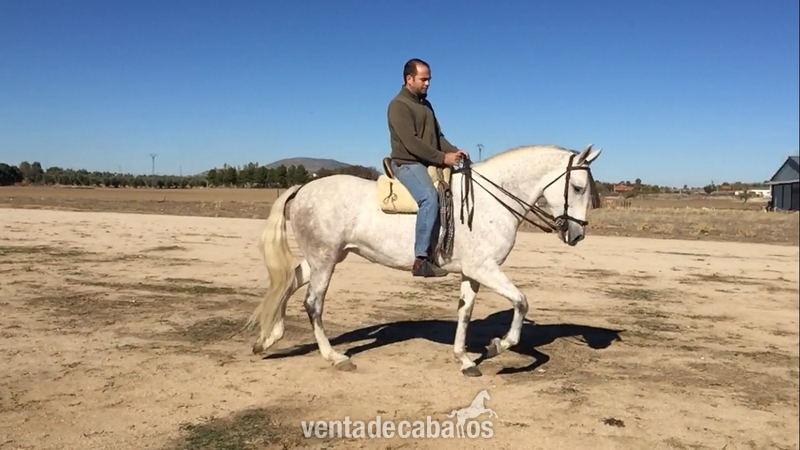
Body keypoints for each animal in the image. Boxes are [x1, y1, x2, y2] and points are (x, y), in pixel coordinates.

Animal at [246, 143, 602, 377]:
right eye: (578, 187)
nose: (577, 234)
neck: (491, 200)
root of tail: (303, 188)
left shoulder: (472, 273)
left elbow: (465, 312)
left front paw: (465, 359)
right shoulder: (485, 269)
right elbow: (521, 301)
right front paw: (498, 346)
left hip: (324, 258)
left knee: (288, 282)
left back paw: (268, 340)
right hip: (324, 260)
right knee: (312, 304)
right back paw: (334, 357)